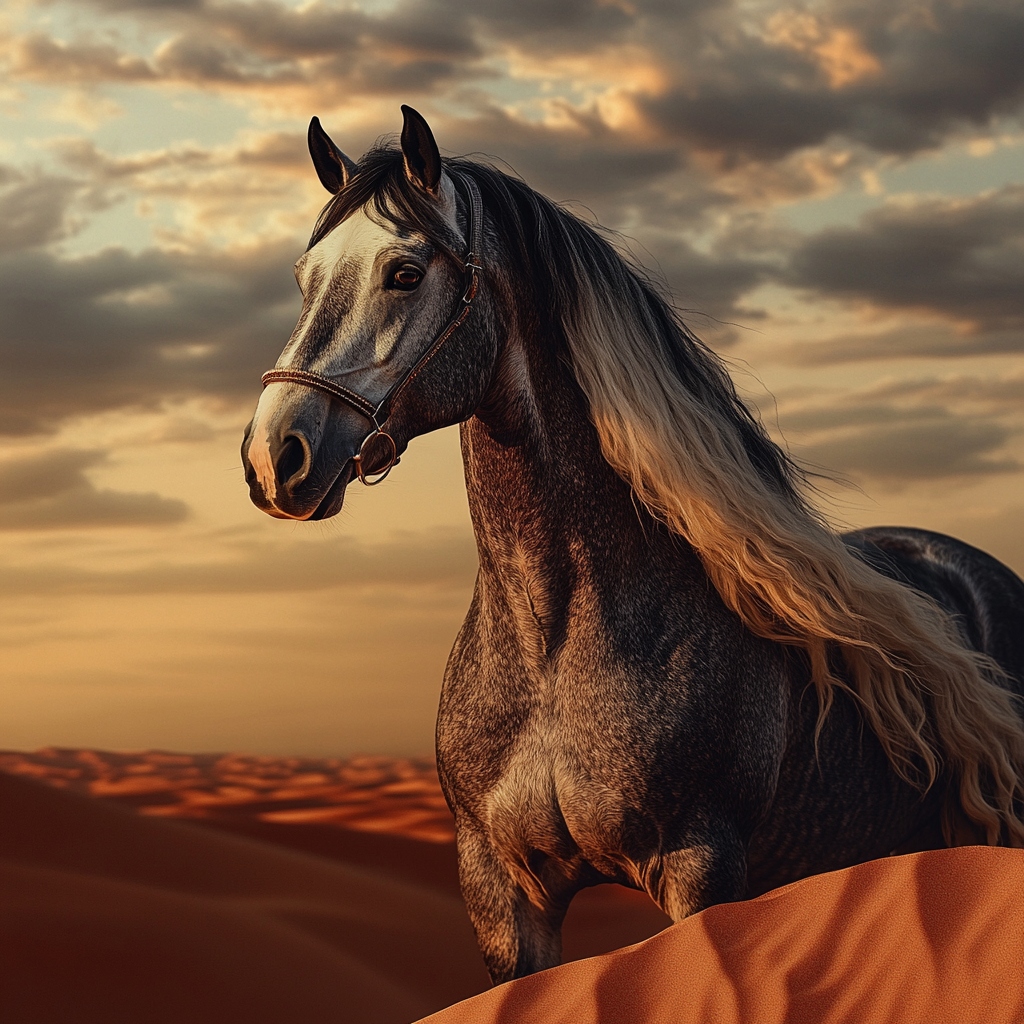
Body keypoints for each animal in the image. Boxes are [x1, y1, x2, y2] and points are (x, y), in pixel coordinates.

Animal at [241, 105, 1024, 983]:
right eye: (303, 280)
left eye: (404, 274)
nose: (275, 457)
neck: (554, 637)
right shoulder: (501, 891)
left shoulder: (698, 866)